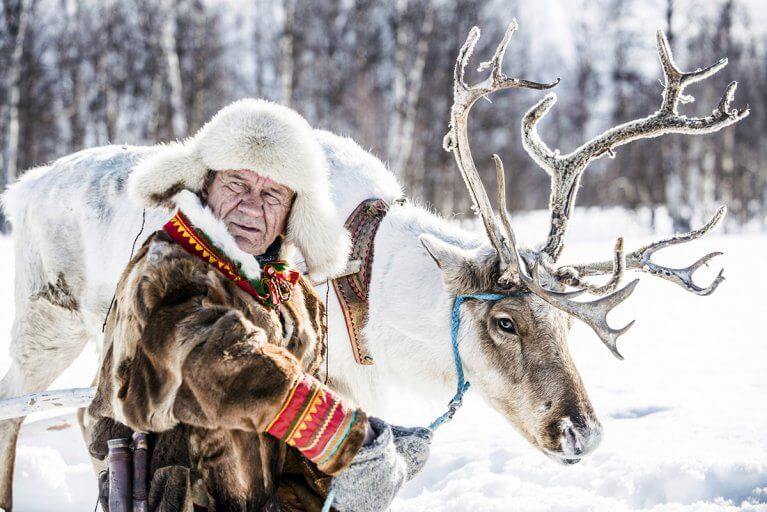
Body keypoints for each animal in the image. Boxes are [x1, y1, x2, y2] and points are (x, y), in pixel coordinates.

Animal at [0, 20, 747, 510]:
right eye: (504, 322)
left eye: (565, 326)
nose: (582, 434)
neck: (373, 305)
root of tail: (23, 187)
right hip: (43, 324)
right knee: (15, 409)